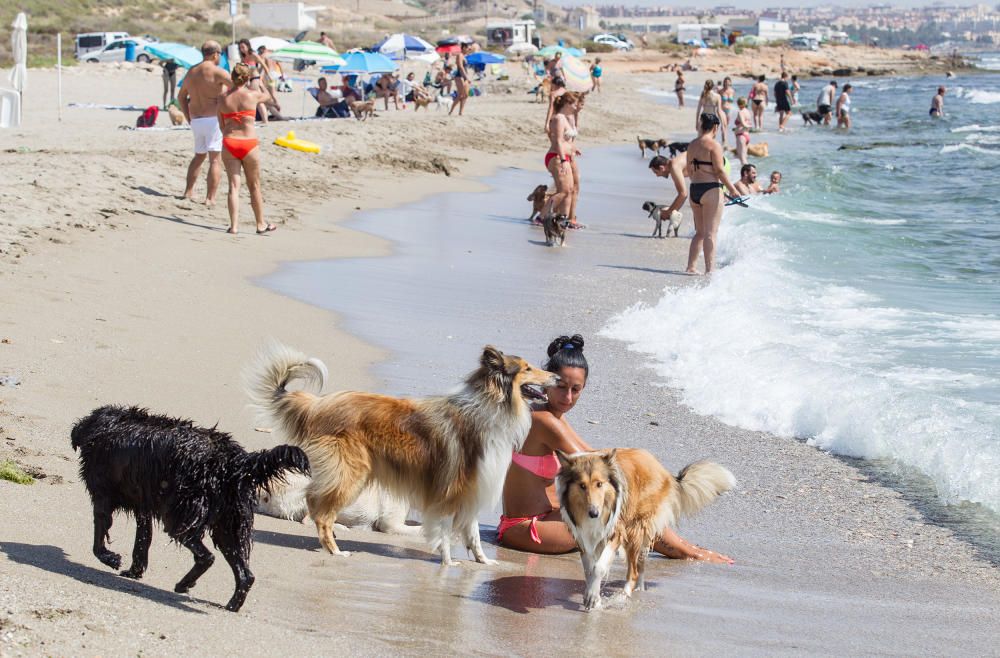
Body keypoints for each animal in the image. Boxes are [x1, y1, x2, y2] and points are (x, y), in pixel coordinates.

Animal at [71, 402, 308, 612]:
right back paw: (230, 604)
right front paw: (134, 571)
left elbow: (99, 538)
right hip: (229, 525)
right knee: (245, 574)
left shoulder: (102, 496)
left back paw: (184, 584)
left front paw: (111, 559)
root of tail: (233, 462)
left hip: (180, 516)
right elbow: (142, 539)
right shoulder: (143, 506)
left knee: (206, 557)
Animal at [556, 448, 736, 608]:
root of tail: (663, 470)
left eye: (599, 484)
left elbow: (598, 567)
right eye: (582, 485)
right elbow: (589, 570)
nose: (594, 513)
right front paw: (592, 595)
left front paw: (594, 598)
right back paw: (638, 591)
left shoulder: (615, 531)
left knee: (634, 571)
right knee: (640, 566)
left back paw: (623, 596)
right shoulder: (583, 536)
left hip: (636, 529)